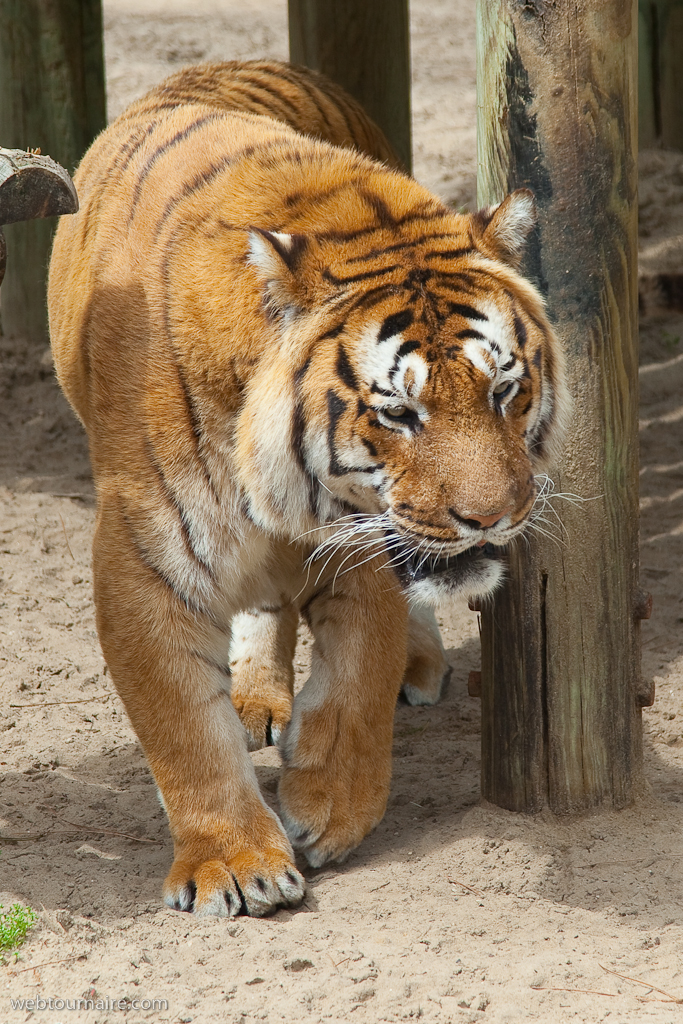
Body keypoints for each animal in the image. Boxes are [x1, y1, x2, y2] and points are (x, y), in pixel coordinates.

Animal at [48, 59, 568, 918]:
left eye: (503, 390)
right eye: (399, 413)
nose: (491, 518)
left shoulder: (365, 537)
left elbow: (358, 679)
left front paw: (328, 810)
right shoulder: (144, 562)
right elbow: (182, 726)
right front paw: (235, 862)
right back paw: (255, 697)